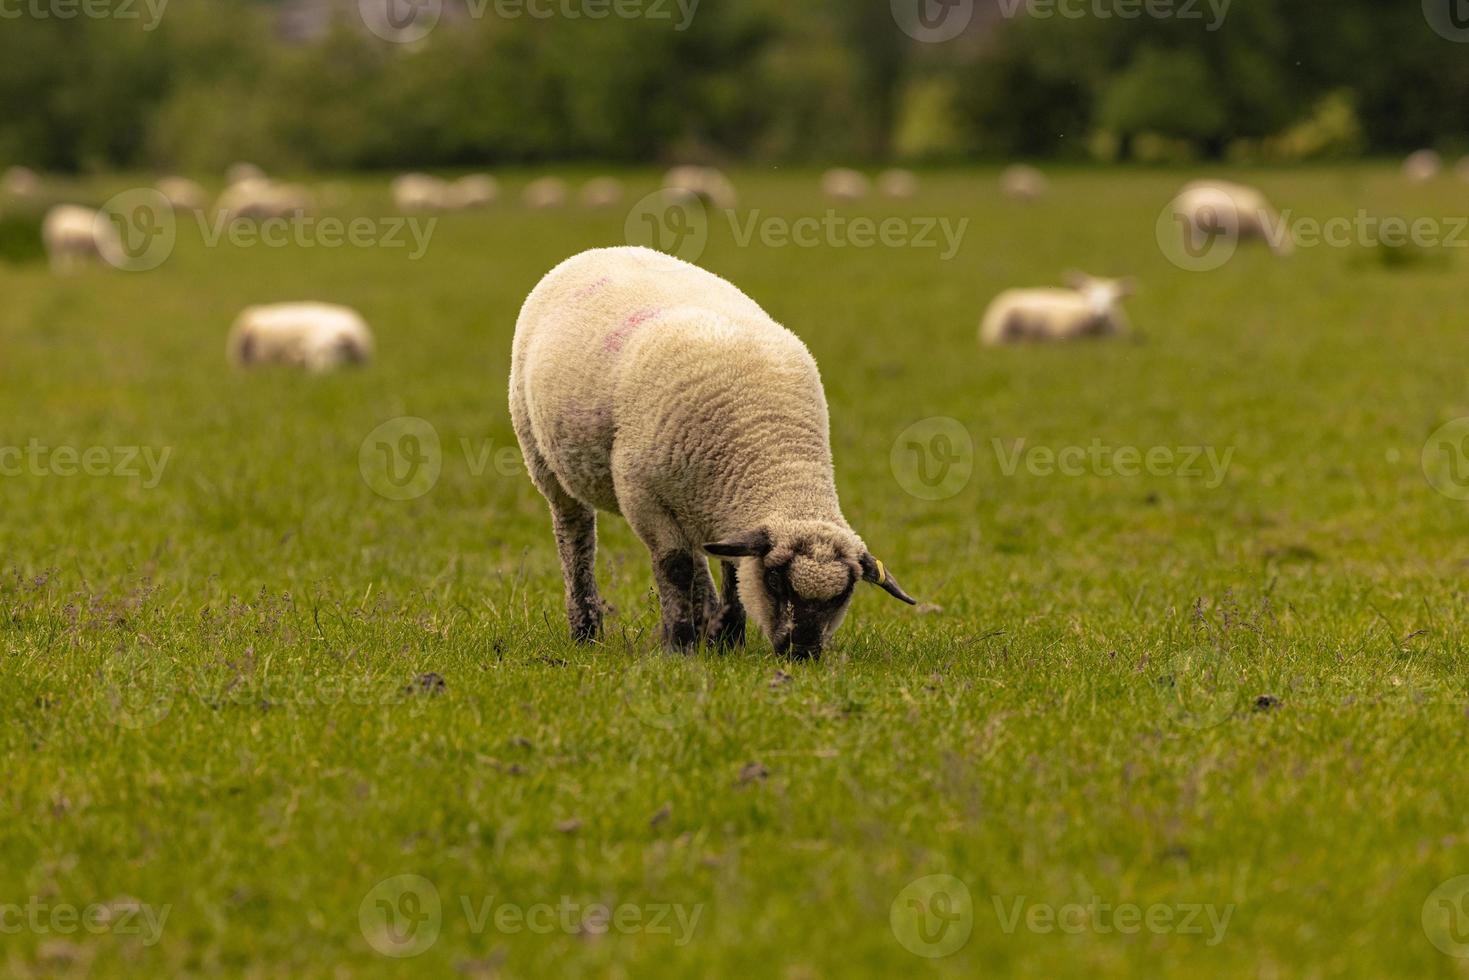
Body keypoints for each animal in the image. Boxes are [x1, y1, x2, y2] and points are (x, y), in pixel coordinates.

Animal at [511, 245, 910, 658]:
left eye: (842, 595)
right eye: (776, 581)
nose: (801, 652)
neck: (775, 453)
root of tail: (601, 250)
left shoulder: (727, 508)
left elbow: (730, 567)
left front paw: (728, 639)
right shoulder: (643, 497)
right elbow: (675, 567)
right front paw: (680, 645)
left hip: (694, 497)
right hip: (542, 457)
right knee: (575, 535)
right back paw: (587, 629)